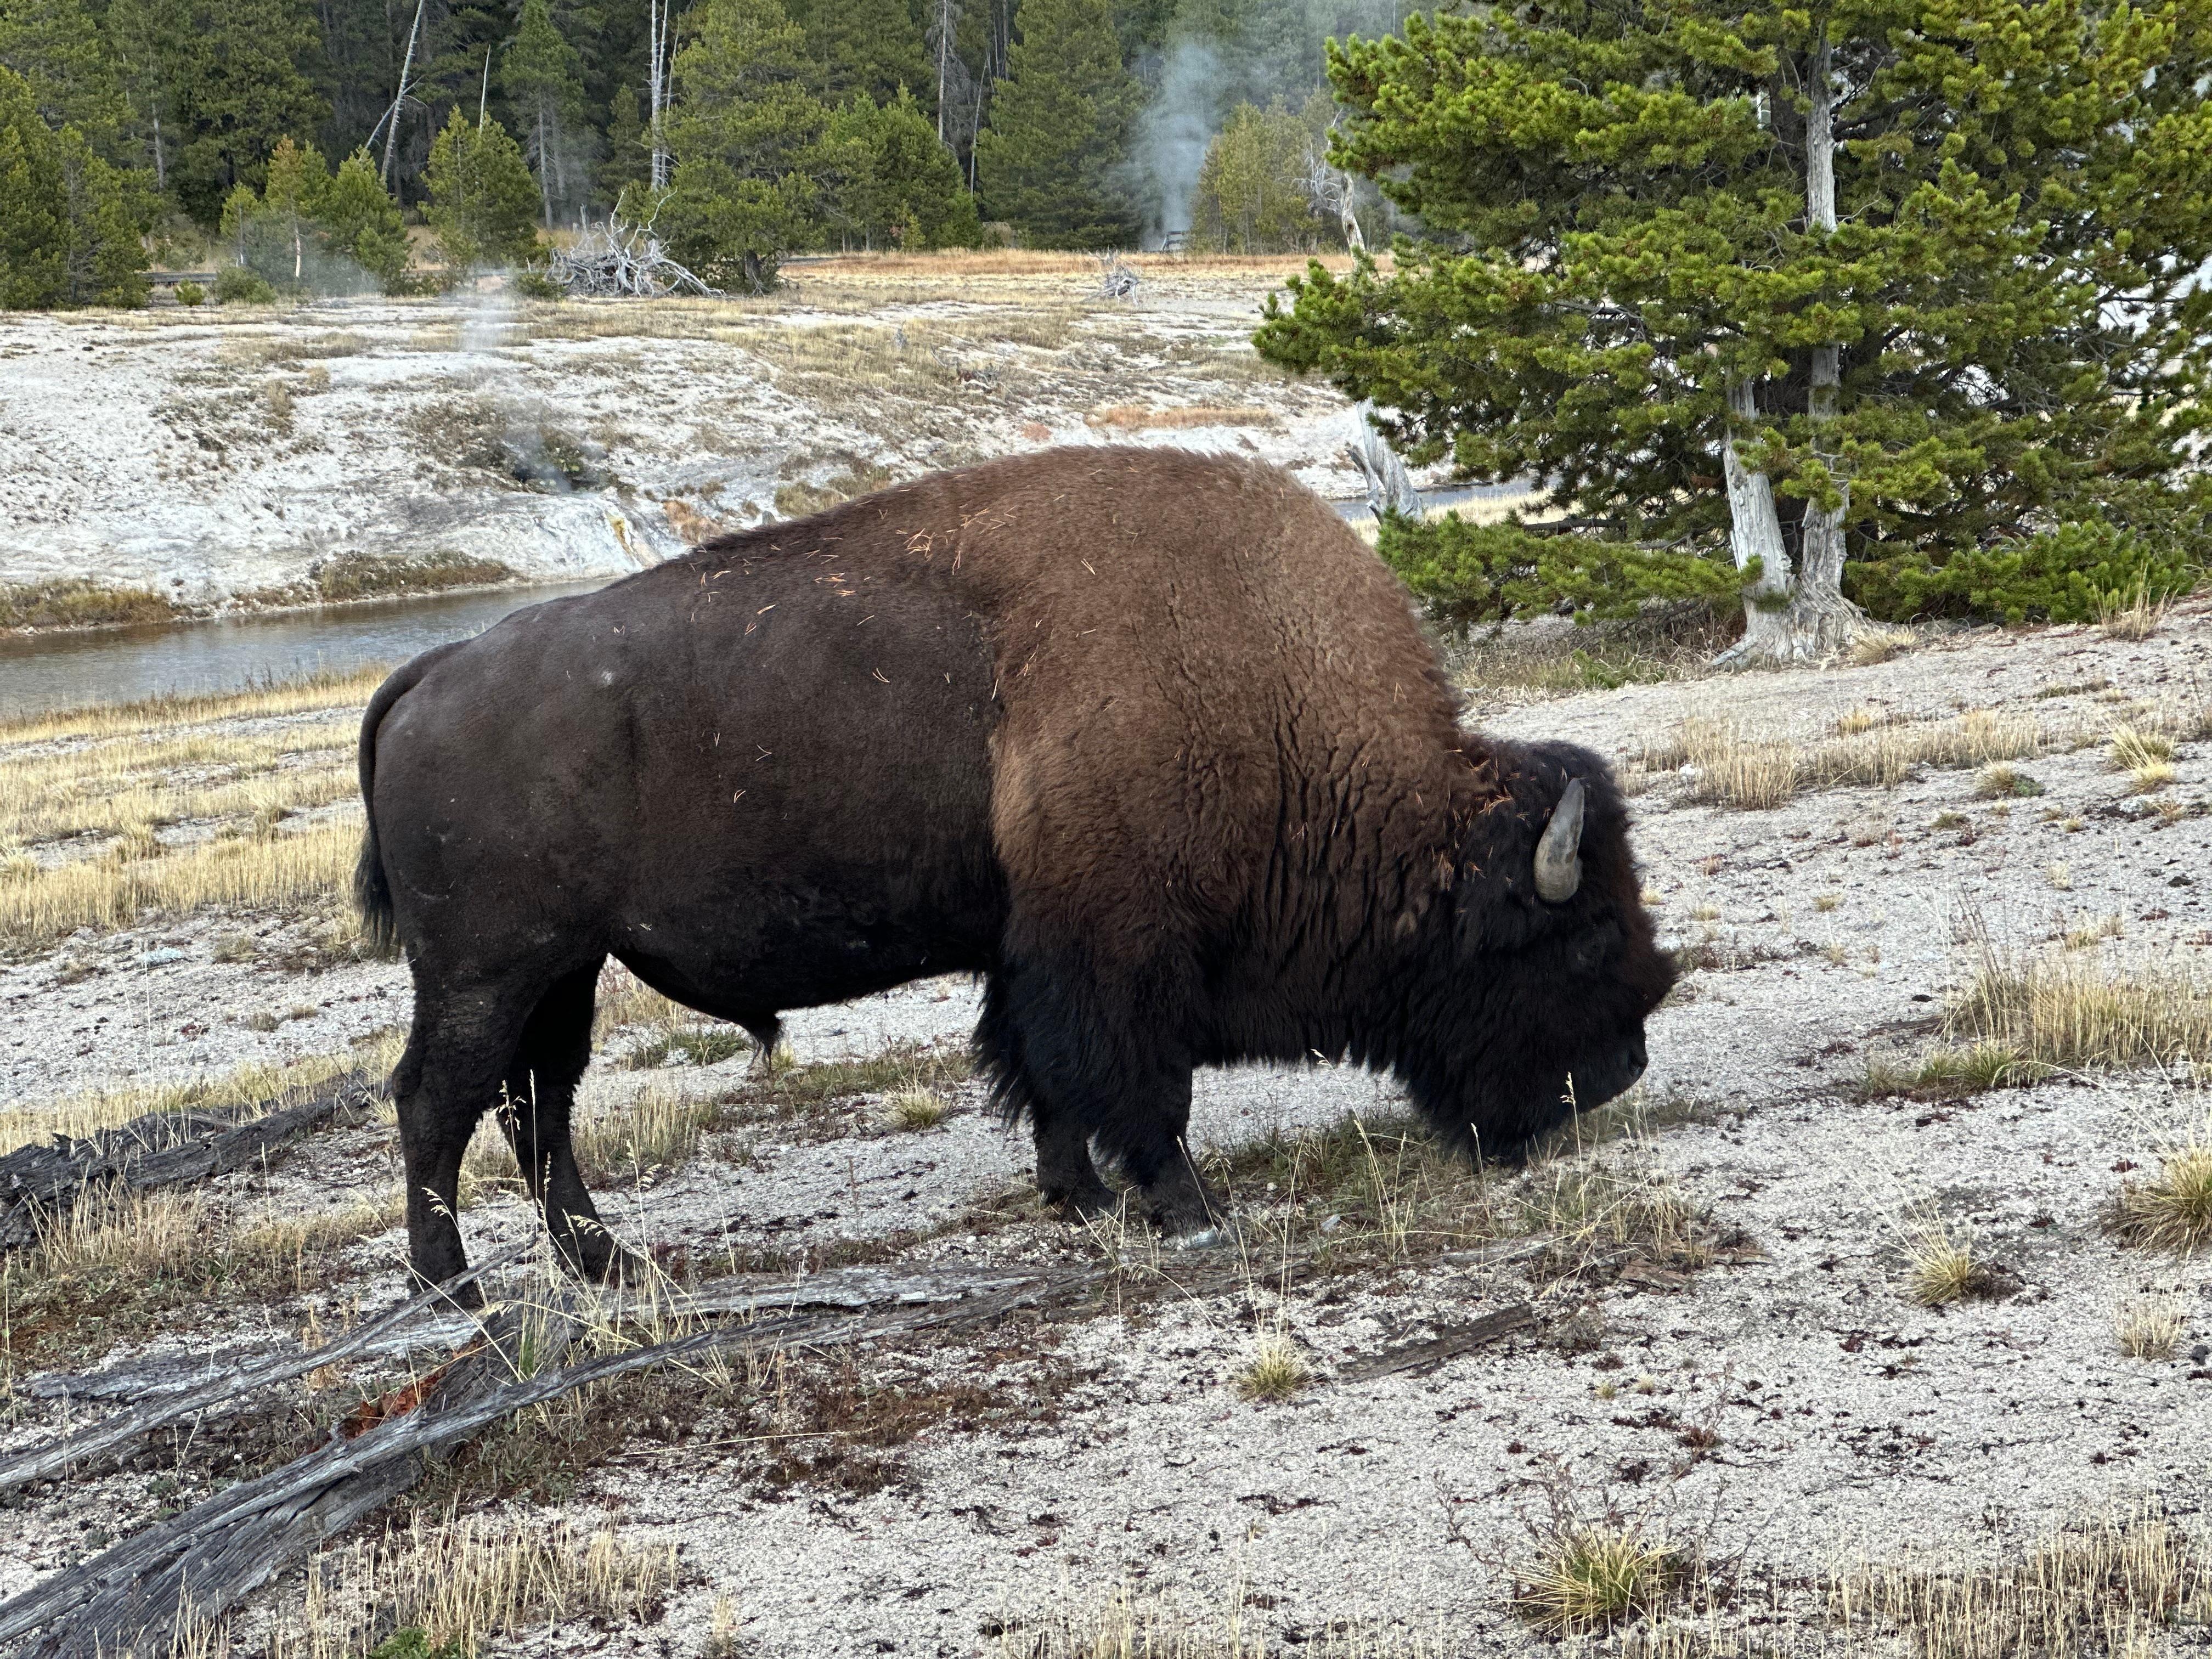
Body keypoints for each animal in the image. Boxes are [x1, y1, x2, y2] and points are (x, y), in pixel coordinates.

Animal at [357, 448, 1674, 1289]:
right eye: (1579, 938)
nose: (1616, 1072)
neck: (1266, 693)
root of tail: (435, 669)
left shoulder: (1032, 951)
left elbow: (1044, 1080)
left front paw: (1076, 1195)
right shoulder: (1121, 951)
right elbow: (1139, 1086)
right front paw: (1189, 1211)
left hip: (564, 972)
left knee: (538, 1107)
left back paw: (606, 1264)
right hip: (487, 970)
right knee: (437, 1100)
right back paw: (454, 1288)